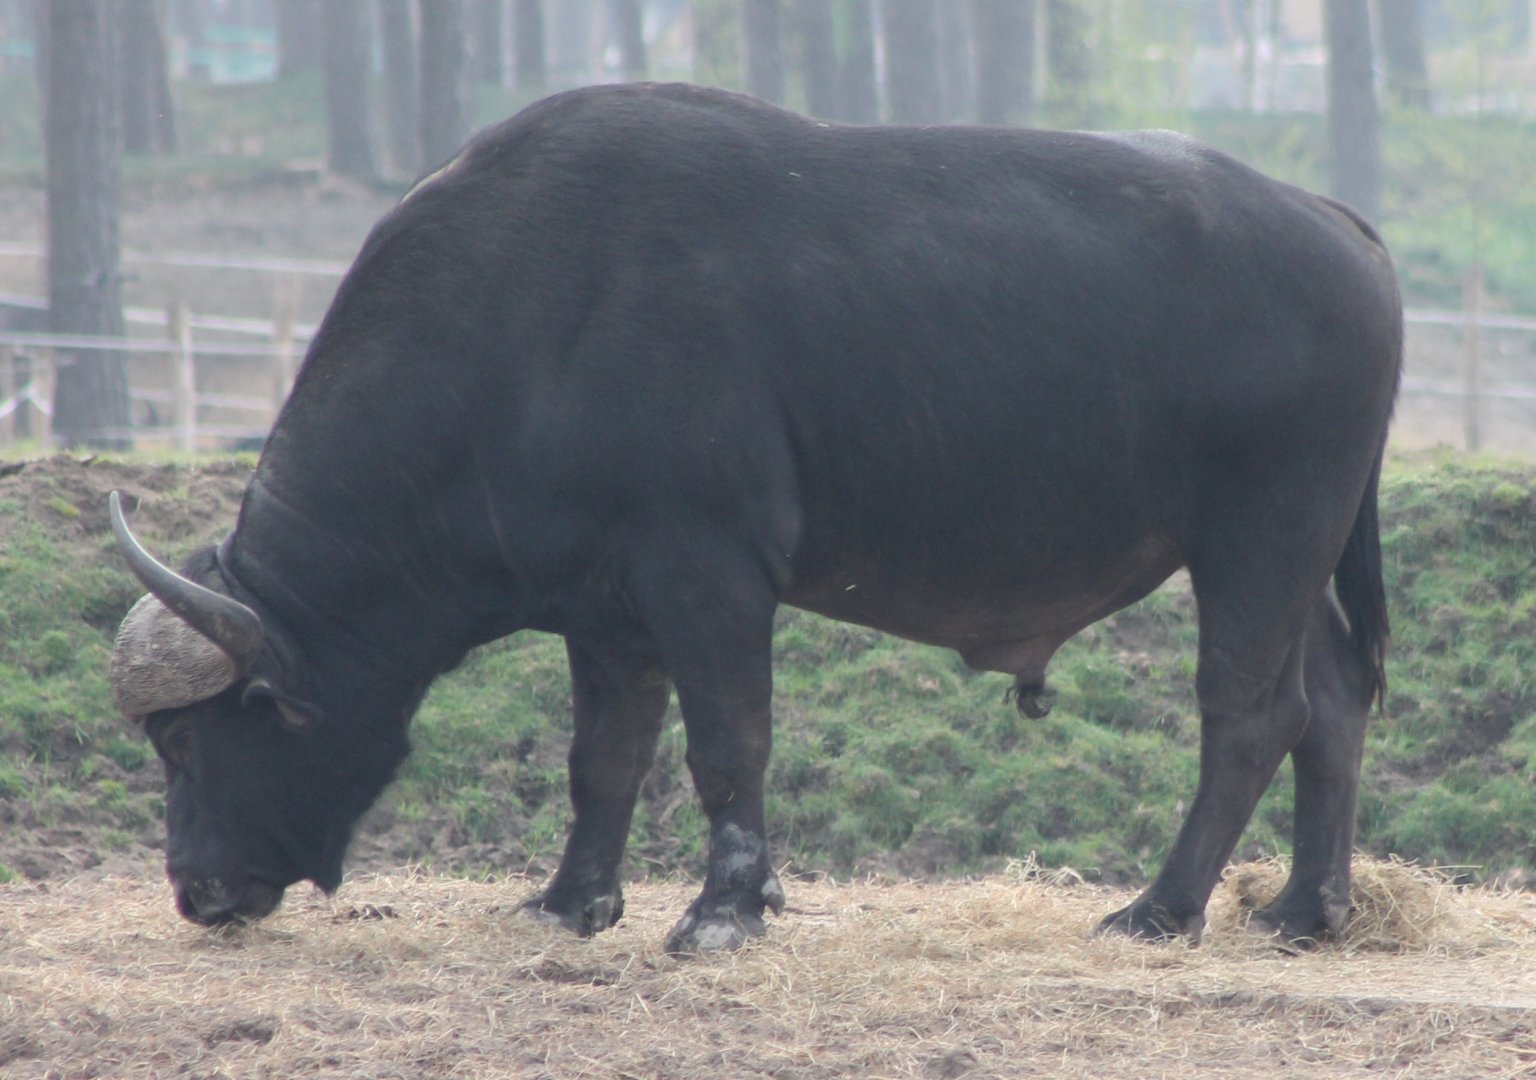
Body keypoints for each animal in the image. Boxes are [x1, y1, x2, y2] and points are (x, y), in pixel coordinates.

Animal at [108, 82, 1400, 953]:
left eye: (185, 742)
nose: (195, 890)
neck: (526, 333)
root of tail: (1337, 224)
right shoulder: (603, 609)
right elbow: (604, 755)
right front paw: (574, 900)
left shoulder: (706, 568)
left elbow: (728, 743)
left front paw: (726, 907)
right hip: (1301, 557)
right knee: (1335, 700)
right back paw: (1306, 908)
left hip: (1259, 539)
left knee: (1250, 714)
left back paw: (1164, 907)